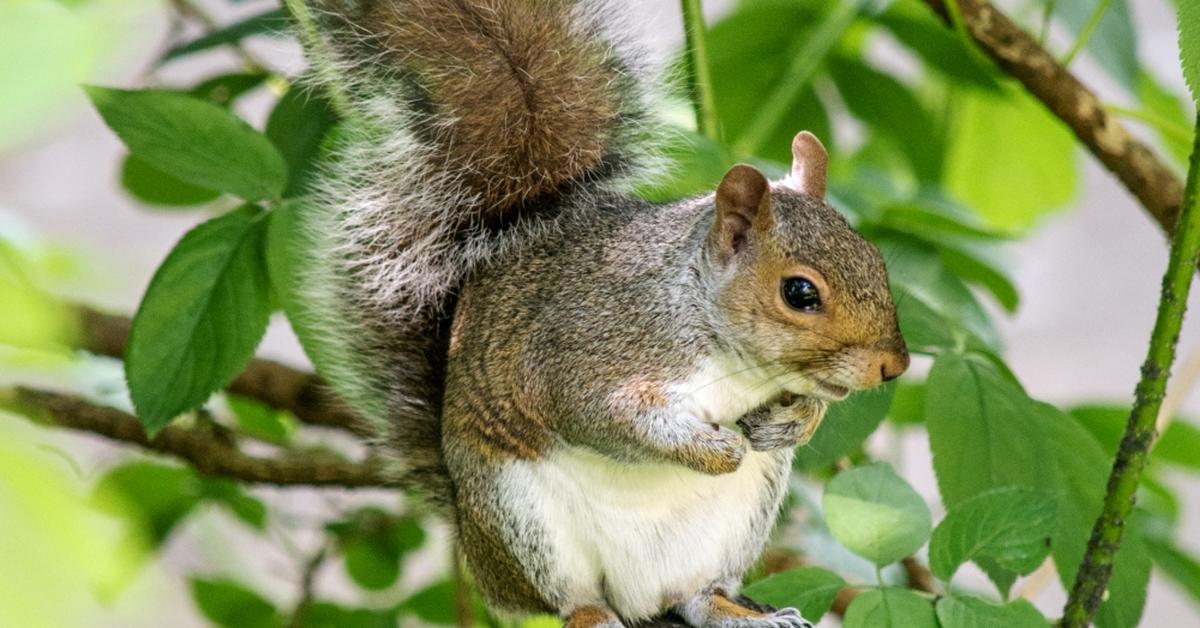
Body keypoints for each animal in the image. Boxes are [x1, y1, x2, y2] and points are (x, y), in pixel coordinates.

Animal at [295, 1, 902, 628]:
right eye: (800, 293)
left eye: (875, 257)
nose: (894, 365)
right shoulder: (585, 351)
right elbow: (606, 417)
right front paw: (718, 449)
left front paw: (789, 423)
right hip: (521, 519)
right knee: (571, 600)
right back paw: (594, 612)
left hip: (740, 520)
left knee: (695, 595)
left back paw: (740, 612)